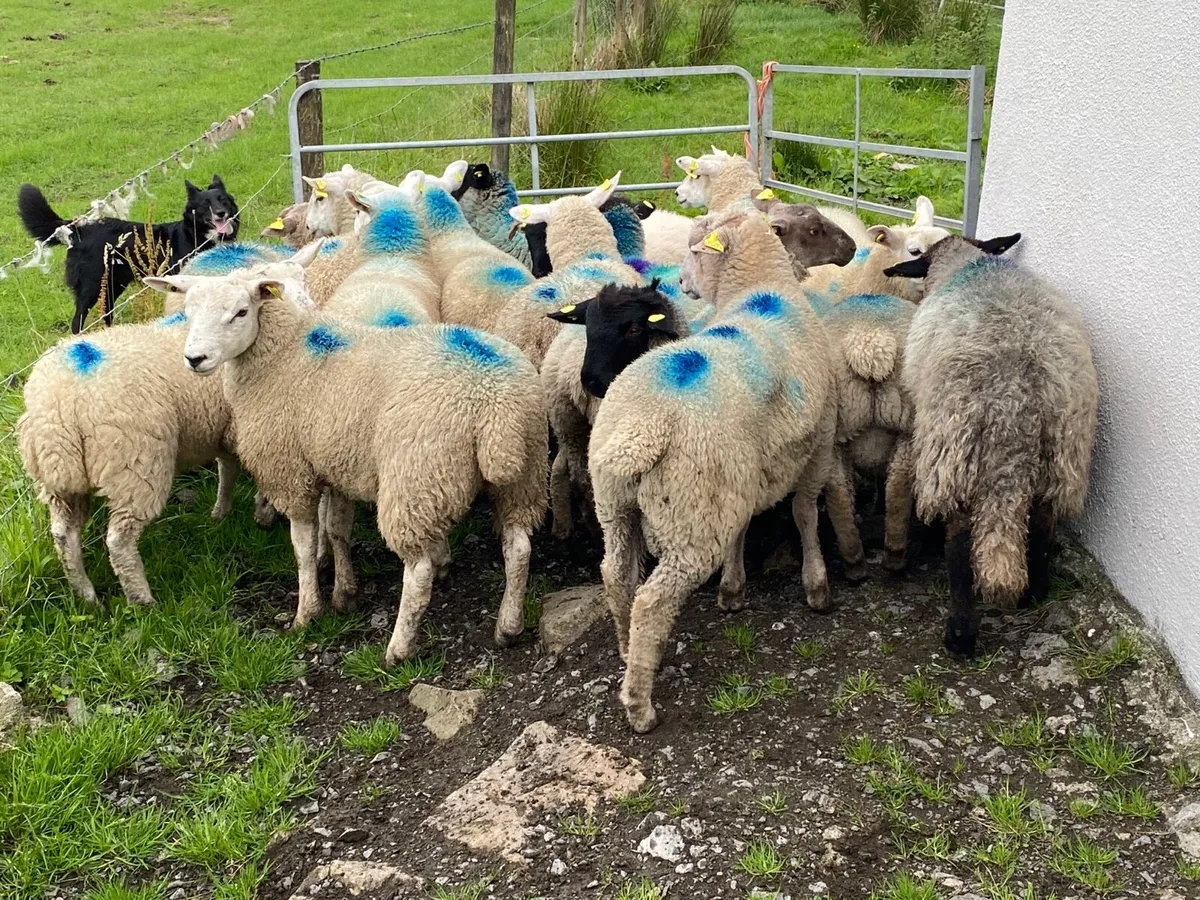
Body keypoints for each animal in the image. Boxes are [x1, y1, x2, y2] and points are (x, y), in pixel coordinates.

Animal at [19, 245, 322, 607]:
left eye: (303, 279)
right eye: (245, 310)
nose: (196, 359)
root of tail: (60, 402)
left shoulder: (222, 426)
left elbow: (227, 469)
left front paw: (220, 512)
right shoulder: (251, 427)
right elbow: (248, 472)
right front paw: (262, 512)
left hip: (59, 479)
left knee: (64, 534)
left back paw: (86, 594)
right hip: (136, 464)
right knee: (119, 541)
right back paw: (143, 601)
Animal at [165, 270, 548, 665]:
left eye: (241, 312)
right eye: (188, 311)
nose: (195, 358)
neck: (284, 355)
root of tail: (494, 401)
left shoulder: (291, 471)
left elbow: (303, 547)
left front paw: (307, 613)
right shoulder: (338, 465)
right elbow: (337, 530)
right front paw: (344, 594)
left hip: (414, 474)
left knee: (418, 571)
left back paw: (398, 648)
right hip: (519, 473)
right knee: (519, 548)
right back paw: (509, 626)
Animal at [587, 208, 839, 732]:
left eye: (694, 248)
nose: (681, 283)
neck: (762, 291)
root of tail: (642, 430)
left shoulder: (740, 477)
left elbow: (742, 530)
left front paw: (733, 589)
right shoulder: (821, 439)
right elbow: (805, 514)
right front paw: (817, 586)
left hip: (619, 506)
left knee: (616, 575)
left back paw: (625, 651)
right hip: (690, 518)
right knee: (652, 602)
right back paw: (640, 705)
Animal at [884, 233, 1098, 657]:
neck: (968, 264)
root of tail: (1016, 399)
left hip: (954, 452)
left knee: (960, 542)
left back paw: (960, 636)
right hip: (1062, 454)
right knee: (1043, 523)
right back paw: (1034, 592)